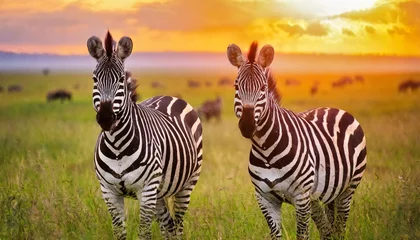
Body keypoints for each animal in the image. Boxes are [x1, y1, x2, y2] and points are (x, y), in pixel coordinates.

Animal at [85, 31, 203, 239]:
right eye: (94, 79)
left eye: (121, 79)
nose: (106, 118)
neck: (117, 146)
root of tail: (168, 96)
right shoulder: (108, 192)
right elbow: (119, 232)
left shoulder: (146, 190)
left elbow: (144, 233)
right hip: (159, 191)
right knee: (168, 225)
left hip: (187, 183)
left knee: (178, 225)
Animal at [226, 42, 368, 239]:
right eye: (236, 86)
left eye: (263, 88)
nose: (247, 125)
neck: (266, 150)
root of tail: (334, 108)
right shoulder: (265, 198)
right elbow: (276, 234)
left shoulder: (300, 197)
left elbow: (302, 234)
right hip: (321, 195)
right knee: (327, 229)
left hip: (348, 188)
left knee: (339, 227)